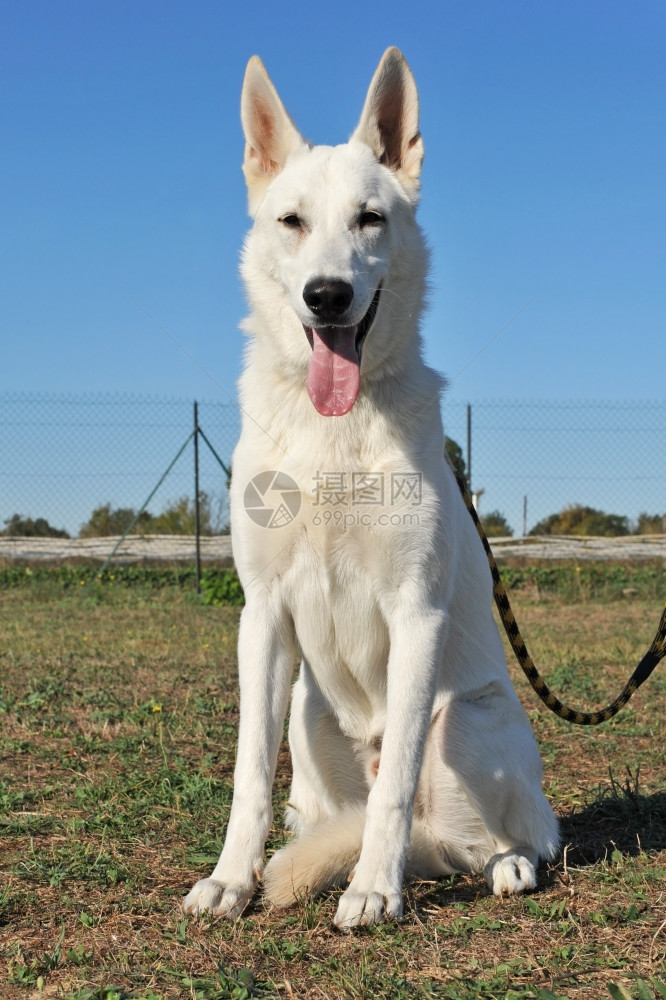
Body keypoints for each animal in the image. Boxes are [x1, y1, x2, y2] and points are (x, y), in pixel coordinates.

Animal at [183, 45, 556, 920]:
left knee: (497, 834)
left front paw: (374, 892)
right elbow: (248, 776)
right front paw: (231, 879)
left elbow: (393, 797)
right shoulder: (262, 616)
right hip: (306, 717)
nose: (327, 296)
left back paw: (507, 865)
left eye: (370, 219)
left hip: (467, 721)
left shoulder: (416, 614)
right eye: (291, 222)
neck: (333, 432)